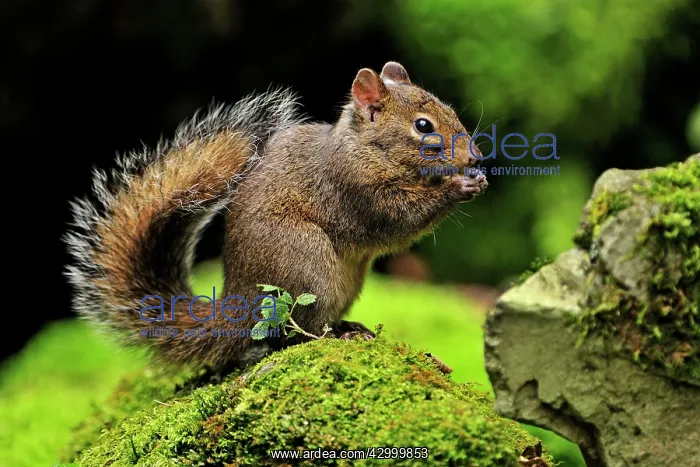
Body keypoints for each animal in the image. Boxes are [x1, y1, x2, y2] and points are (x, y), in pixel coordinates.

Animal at [64, 61, 487, 370]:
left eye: (450, 110)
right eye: (423, 125)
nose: (476, 158)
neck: (364, 148)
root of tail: (239, 305)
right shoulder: (355, 191)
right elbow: (400, 219)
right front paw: (458, 186)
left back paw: (350, 326)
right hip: (305, 264)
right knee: (299, 332)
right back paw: (340, 336)